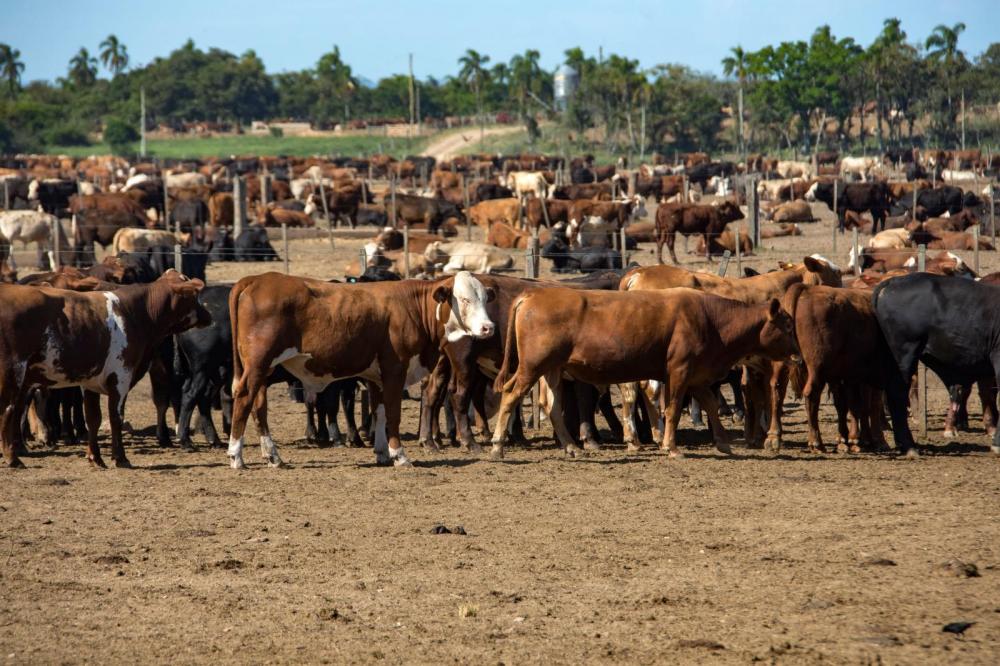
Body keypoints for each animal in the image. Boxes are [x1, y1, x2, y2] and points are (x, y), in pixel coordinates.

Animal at [0, 270, 209, 466]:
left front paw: (95, 457)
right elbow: (116, 417)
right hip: (13, 374)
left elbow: (93, 418)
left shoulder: (90, 383)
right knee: (7, 410)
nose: (209, 315)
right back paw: (12, 457)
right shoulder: (121, 378)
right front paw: (120, 457)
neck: (135, 312)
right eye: (193, 296)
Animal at [225, 270, 494, 466]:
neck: (412, 308)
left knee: (259, 405)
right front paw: (399, 455)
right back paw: (236, 455)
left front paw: (382, 452)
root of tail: (256, 279)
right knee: (245, 398)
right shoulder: (395, 370)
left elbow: (379, 411)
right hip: (259, 364)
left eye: (484, 299)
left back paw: (272, 456)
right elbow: (393, 413)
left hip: (261, 369)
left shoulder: (376, 377)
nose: (488, 327)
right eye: (464, 299)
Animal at [490, 288, 796, 460]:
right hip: (532, 367)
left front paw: (723, 443)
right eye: (787, 325)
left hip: (552, 368)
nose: (798, 355)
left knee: (552, 406)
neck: (711, 318)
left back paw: (572, 447)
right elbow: (673, 408)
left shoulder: (695, 373)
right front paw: (671, 447)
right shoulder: (679, 370)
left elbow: (709, 403)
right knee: (510, 395)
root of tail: (531, 295)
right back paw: (497, 446)